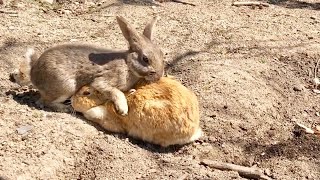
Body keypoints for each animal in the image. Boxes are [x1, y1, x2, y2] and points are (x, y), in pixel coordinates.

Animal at [28, 15, 164, 114]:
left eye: (161, 53)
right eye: (145, 59)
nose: (158, 76)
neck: (128, 65)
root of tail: (33, 73)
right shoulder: (102, 81)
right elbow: (114, 91)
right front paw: (123, 109)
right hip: (66, 86)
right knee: (44, 102)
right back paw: (66, 108)